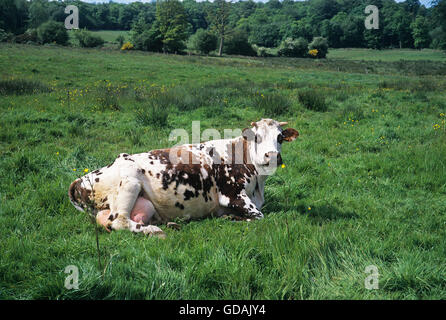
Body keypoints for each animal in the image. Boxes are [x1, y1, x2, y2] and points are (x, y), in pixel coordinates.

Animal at [69, 119, 300, 236]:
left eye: (280, 137)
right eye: (257, 137)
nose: (272, 156)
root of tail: (80, 180)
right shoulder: (233, 195)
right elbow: (259, 217)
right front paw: (230, 218)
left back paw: (170, 225)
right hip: (130, 181)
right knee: (118, 221)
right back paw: (153, 230)